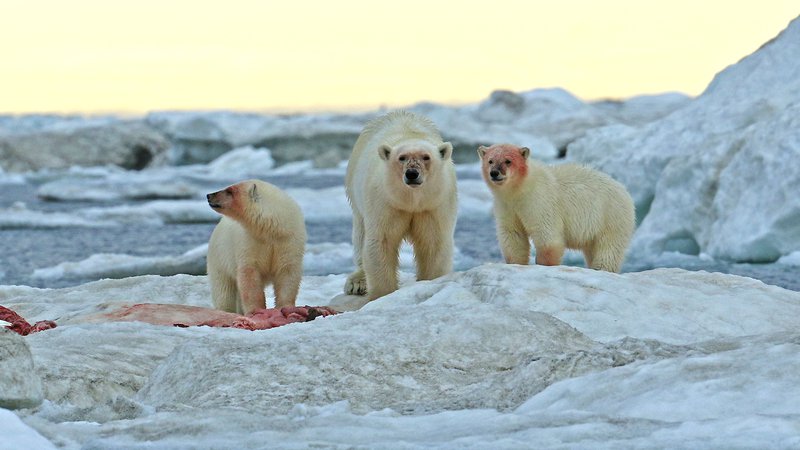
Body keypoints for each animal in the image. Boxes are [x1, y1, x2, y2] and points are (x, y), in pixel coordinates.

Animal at [206, 178, 306, 312]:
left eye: (229, 191)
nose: (209, 195)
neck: (273, 230)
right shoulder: (249, 242)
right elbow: (249, 274)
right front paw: (256, 310)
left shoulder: (289, 241)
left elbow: (287, 272)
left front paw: (285, 306)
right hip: (220, 258)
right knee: (223, 290)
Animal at [344, 110, 456, 300]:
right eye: (402, 158)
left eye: (426, 157)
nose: (412, 173)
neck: (411, 201)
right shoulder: (386, 202)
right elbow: (382, 241)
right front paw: (382, 295)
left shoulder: (433, 205)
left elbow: (433, 242)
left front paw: (430, 282)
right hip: (355, 190)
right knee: (360, 234)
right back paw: (357, 283)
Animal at [478, 143, 636, 270]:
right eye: (490, 161)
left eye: (508, 161)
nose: (494, 173)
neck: (520, 189)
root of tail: (625, 191)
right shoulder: (506, 205)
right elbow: (513, 234)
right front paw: (515, 263)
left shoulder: (540, 201)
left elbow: (547, 237)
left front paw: (544, 265)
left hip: (610, 217)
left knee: (608, 249)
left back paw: (601, 268)